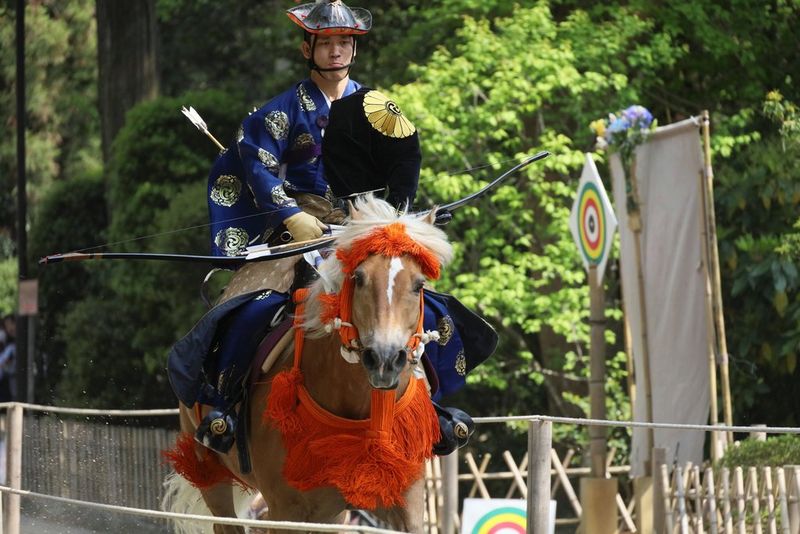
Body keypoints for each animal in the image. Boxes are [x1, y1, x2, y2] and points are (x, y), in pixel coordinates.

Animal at [164, 195, 454, 533]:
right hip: (210, 469)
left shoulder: (405, 503)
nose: (384, 358)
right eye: (358, 278)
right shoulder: (286, 510)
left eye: (419, 285)